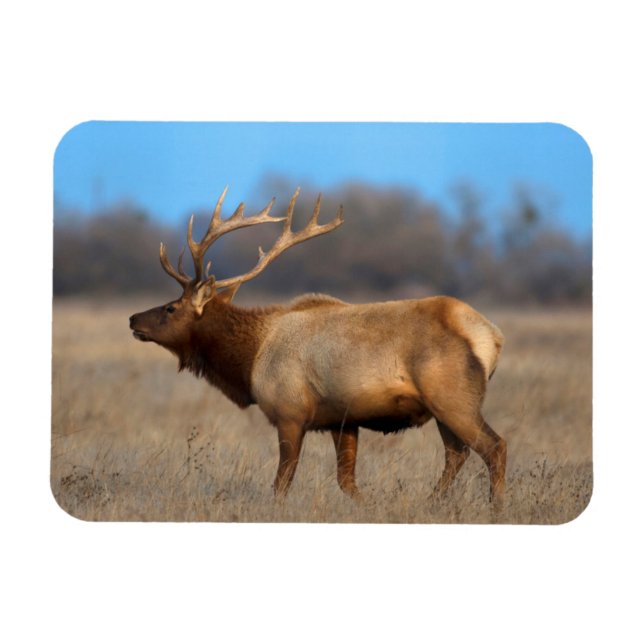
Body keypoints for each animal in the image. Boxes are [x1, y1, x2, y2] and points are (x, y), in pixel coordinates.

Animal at [129, 188, 506, 506]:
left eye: (171, 308)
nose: (133, 319)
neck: (250, 359)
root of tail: (491, 337)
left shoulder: (289, 412)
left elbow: (282, 483)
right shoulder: (343, 419)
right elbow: (347, 481)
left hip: (452, 398)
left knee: (494, 448)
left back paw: (495, 506)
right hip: (445, 407)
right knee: (457, 454)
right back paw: (432, 502)